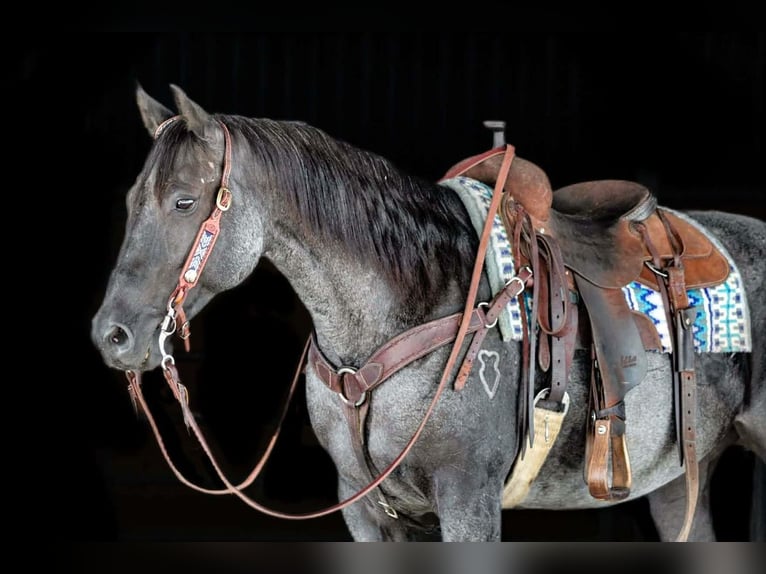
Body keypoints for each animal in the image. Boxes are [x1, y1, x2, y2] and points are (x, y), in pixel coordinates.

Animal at [90, 83, 765, 542]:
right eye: (130, 200)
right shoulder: (364, 510)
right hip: (679, 480)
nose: (112, 336)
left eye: (184, 201)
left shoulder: (468, 500)